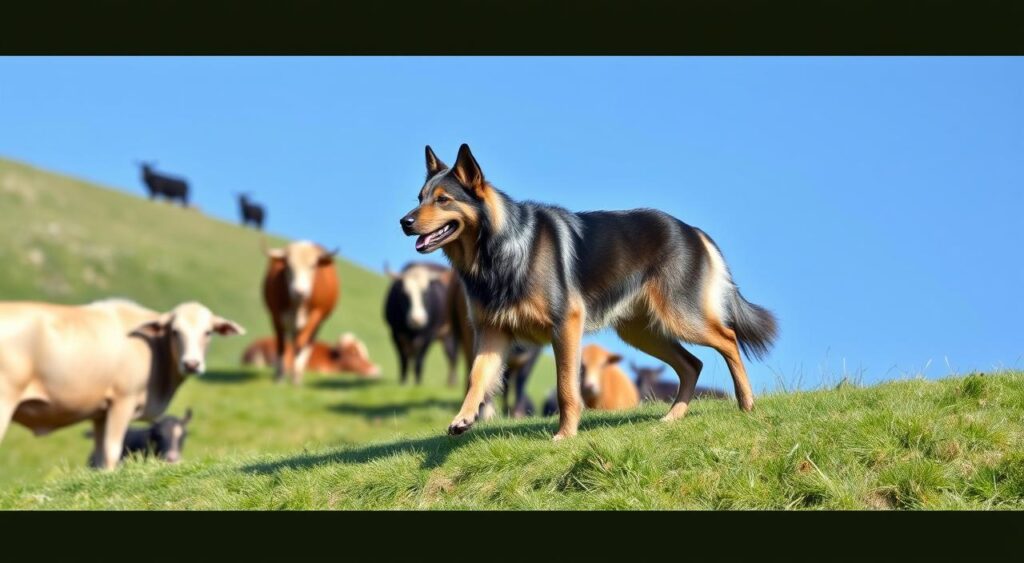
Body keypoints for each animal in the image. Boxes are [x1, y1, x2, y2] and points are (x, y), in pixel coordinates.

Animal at [0, 300, 245, 472]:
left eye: (208, 332)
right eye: (175, 331)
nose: (192, 364)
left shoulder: (100, 411)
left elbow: (99, 458)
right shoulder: (122, 400)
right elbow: (112, 452)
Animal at [260, 240, 339, 386]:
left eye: (313, 266)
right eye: (289, 266)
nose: (300, 291)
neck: (298, 304)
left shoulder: (315, 315)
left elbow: (301, 345)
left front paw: (295, 378)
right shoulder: (276, 315)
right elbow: (281, 345)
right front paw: (279, 377)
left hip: (318, 323)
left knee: (307, 343)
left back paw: (298, 374)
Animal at [399, 144, 774, 442]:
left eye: (443, 200)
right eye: (419, 198)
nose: (404, 222)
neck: (498, 248)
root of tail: (693, 231)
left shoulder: (565, 326)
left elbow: (566, 387)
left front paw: (565, 435)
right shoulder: (492, 334)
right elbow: (476, 378)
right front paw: (463, 418)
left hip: (680, 318)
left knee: (728, 339)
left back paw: (747, 404)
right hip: (642, 332)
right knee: (692, 364)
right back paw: (673, 416)